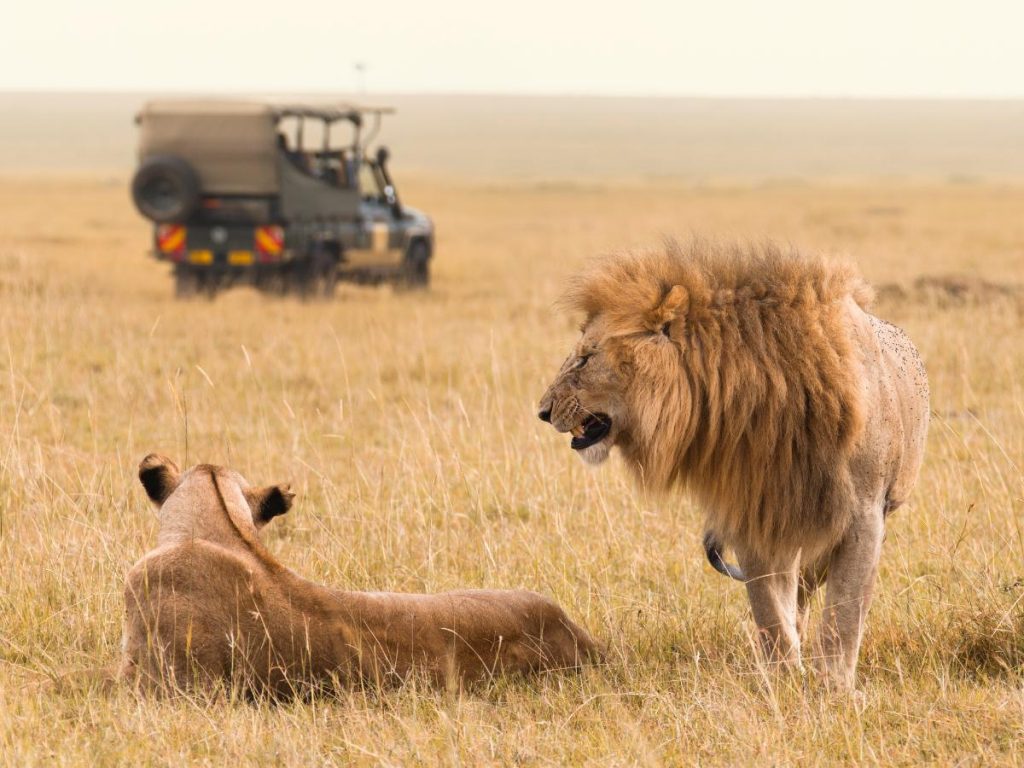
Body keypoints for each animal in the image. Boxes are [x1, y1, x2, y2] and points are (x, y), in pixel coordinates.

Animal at [537, 240, 929, 689]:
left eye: (586, 359)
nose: (542, 411)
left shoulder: (863, 515)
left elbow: (844, 613)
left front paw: (834, 688)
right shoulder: (755, 513)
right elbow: (769, 610)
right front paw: (783, 680)